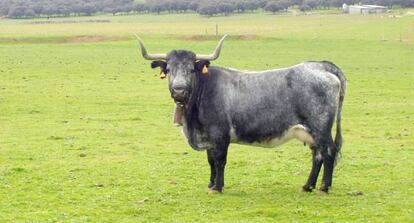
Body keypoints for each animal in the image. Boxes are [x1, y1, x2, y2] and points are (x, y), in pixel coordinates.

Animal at [136, 34, 346, 193]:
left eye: (191, 70)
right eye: (169, 69)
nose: (179, 90)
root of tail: (320, 66)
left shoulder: (220, 136)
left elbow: (220, 161)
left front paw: (218, 187)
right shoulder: (210, 138)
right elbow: (210, 161)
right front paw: (211, 184)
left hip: (321, 128)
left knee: (328, 152)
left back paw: (324, 187)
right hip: (310, 133)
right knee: (317, 155)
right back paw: (307, 186)